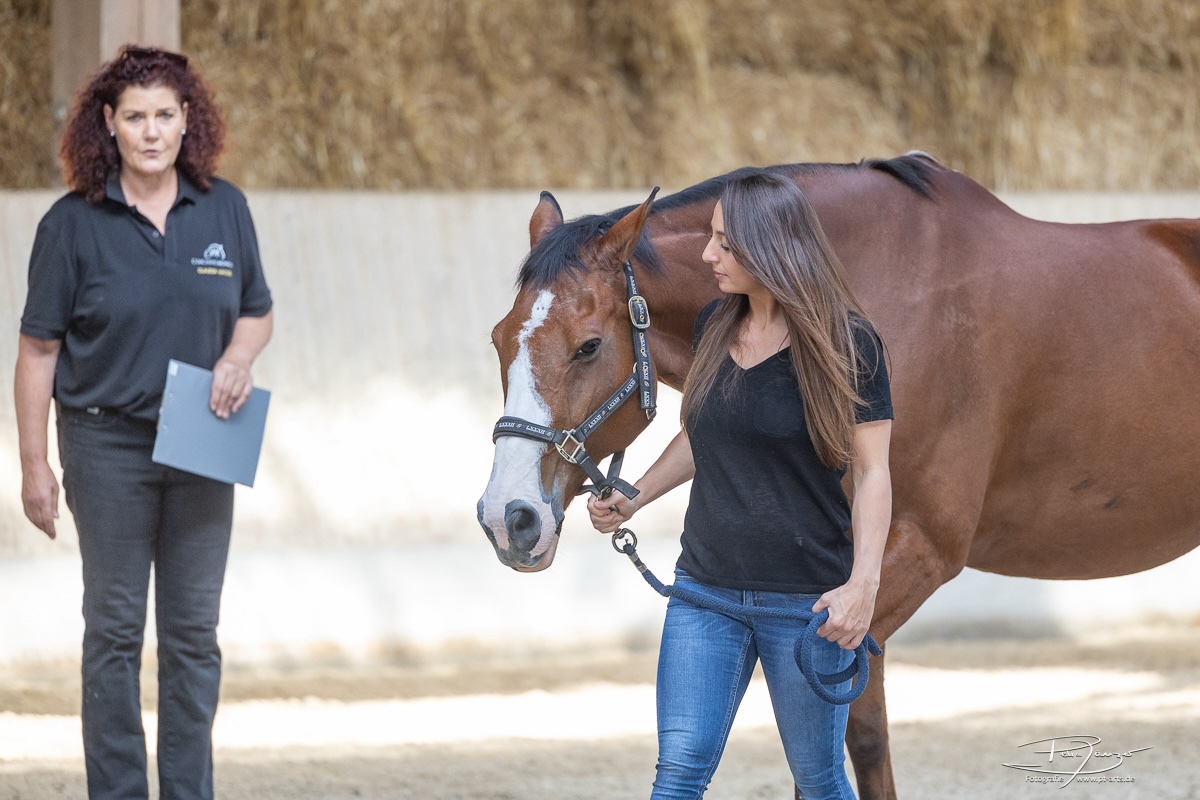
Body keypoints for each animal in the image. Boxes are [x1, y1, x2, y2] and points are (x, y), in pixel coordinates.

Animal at [472, 153, 1200, 796]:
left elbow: (838, 743)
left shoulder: (903, 562)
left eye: (589, 346)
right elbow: (847, 740)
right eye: (499, 338)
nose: (509, 518)